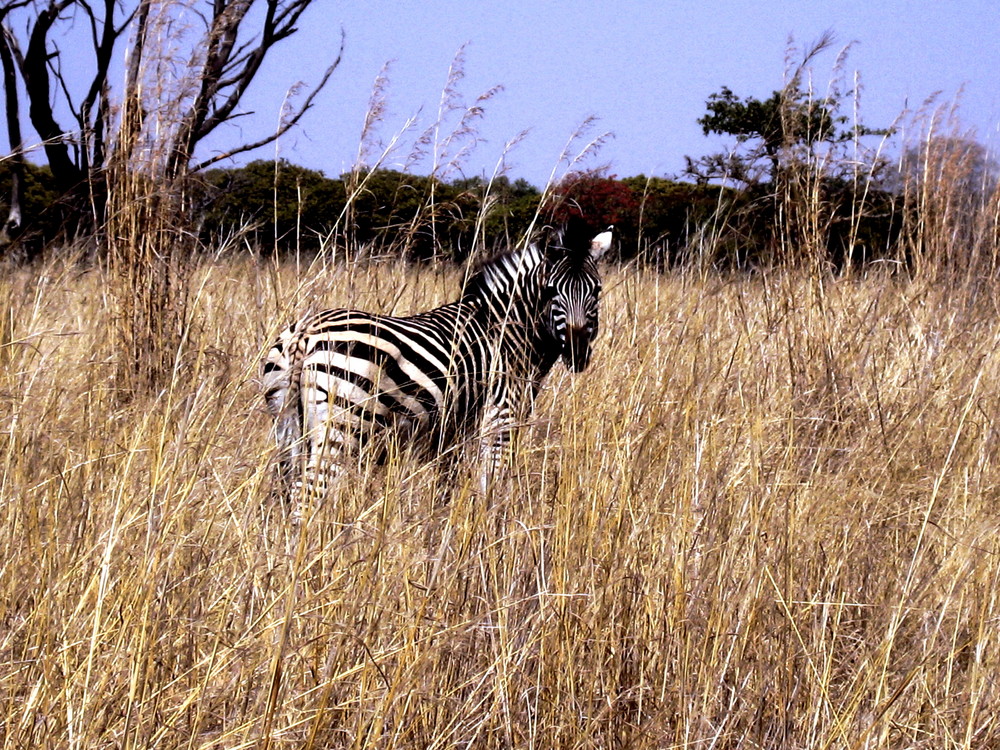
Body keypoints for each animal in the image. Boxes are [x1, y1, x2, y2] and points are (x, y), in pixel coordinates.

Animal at [260, 223, 608, 506]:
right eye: (551, 291)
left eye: (597, 290)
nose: (577, 351)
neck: (507, 331)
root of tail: (306, 333)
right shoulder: (500, 421)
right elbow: (491, 489)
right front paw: (488, 536)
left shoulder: (451, 435)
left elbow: (446, 492)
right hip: (342, 426)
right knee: (307, 496)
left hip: (287, 425)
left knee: (287, 492)